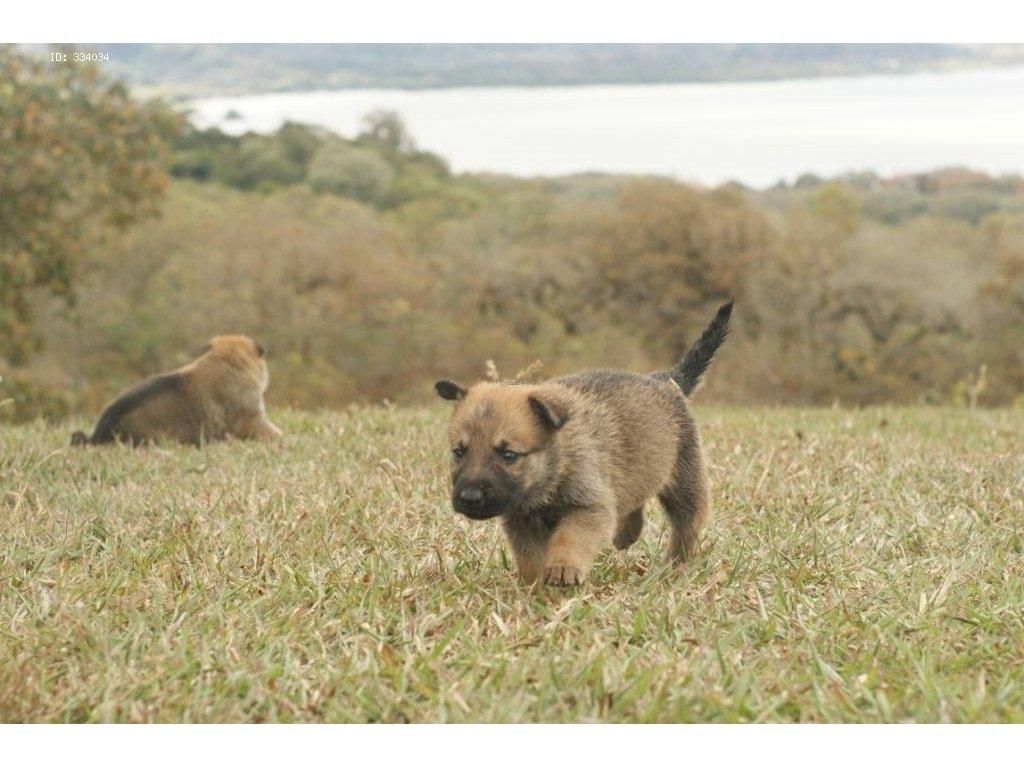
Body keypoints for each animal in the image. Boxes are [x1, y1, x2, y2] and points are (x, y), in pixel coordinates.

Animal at [436, 303, 733, 589]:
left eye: (509, 455)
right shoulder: (522, 523)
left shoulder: (589, 507)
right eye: (459, 452)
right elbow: (531, 558)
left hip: (685, 480)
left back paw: (675, 565)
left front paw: (562, 568)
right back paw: (627, 535)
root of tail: (664, 377)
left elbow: (570, 538)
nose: (470, 498)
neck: (555, 465)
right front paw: (535, 590)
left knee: (687, 524)